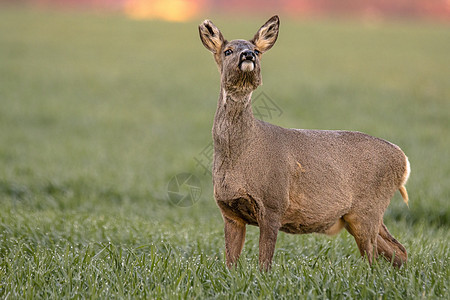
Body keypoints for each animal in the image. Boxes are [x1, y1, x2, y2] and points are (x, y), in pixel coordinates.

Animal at [199, 15, 410, 270]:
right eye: (228, 51)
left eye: (257, 51)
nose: (248, 55)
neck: (241, 155)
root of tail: (403, 159)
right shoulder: (229, 212)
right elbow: (230, 262)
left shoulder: (274, 202)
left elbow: (265, 261)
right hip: (357, 215)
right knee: (398, 250)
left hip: (368, 208)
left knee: (373, 256)